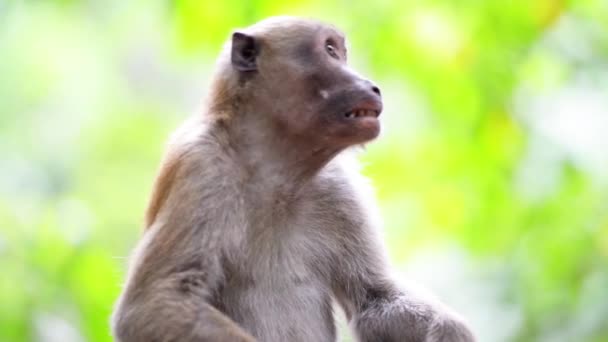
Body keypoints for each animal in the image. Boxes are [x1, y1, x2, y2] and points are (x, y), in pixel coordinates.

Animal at [110, 16, 476, 342]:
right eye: (329, 50)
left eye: (340, 51)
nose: (371, 86)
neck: (276, 170)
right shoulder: (201, 166)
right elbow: (155, 304)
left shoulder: (338, 186)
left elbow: (373, 297)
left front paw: (448, 332)